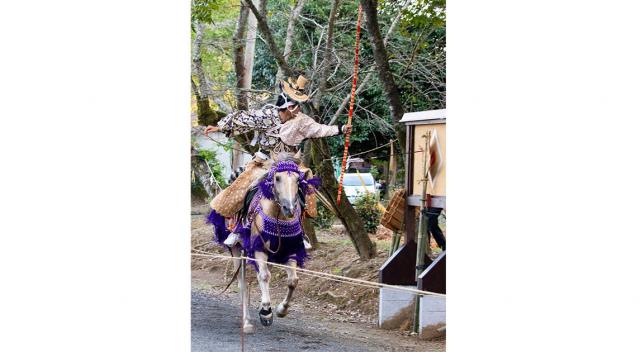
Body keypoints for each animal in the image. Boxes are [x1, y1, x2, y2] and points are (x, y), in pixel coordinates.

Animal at [209, 151, 320, 332]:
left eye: (298, 180)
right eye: (277, 178)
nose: (289, 208)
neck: (278, 216)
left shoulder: (290, 250)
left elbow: (293, 281)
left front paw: (281, 309)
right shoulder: (259, 249)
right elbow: (265, 276)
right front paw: (266, 312)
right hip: (237, 249)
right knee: (242, 283)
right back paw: (246, 321)